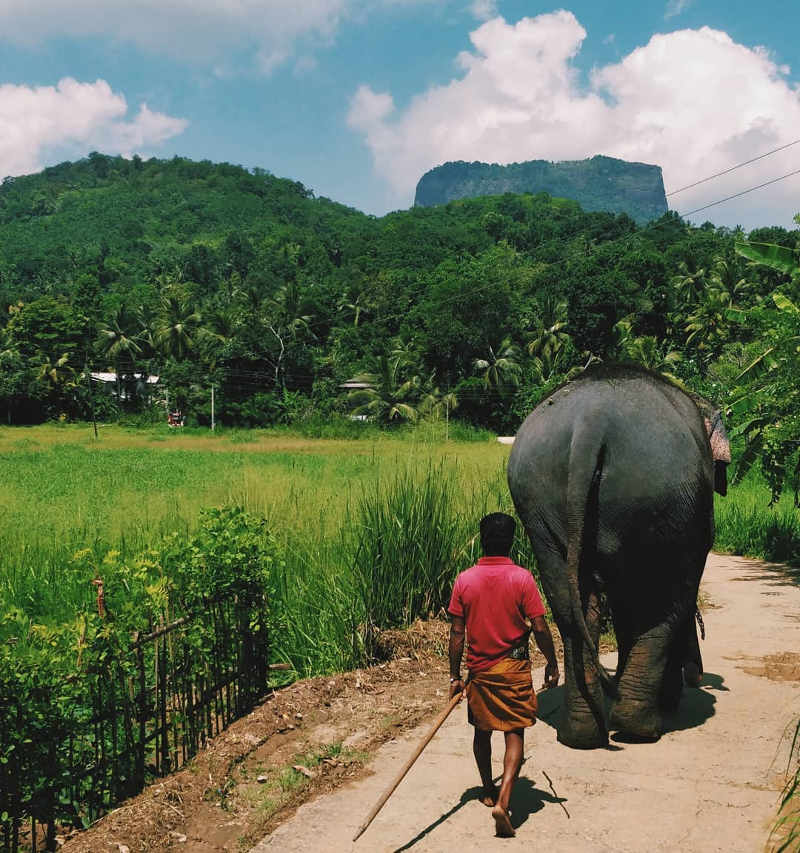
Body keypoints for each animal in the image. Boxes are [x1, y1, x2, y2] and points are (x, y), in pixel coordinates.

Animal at [507, 365, 729, 749]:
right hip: (661, 496)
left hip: (539, 505)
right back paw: (639, 726)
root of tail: (591, 422)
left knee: (572, 607)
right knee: (660, 602)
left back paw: (581, 734)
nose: (697, 677)